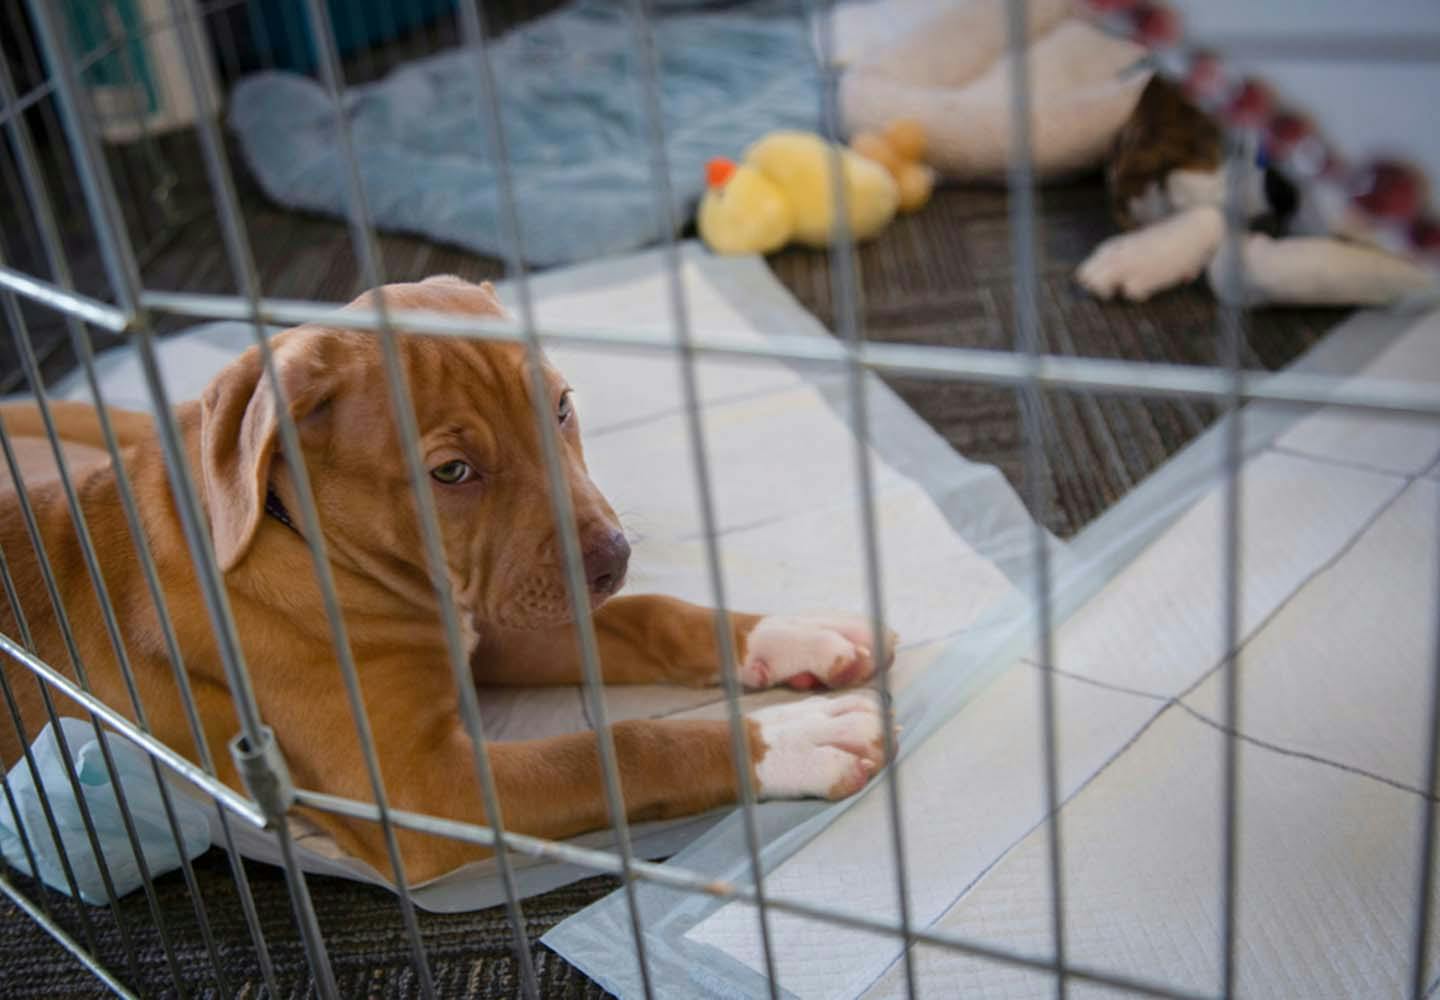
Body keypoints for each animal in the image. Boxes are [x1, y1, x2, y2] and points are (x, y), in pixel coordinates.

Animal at [0, 276, 892, 887]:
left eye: (561, 407)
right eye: (452, 471)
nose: (611, 558)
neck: (298, 538)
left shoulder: (493, 617)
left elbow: (653, 615)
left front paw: (798, 636)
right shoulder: (423, 788)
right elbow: (615, 750)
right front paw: (795, 740)